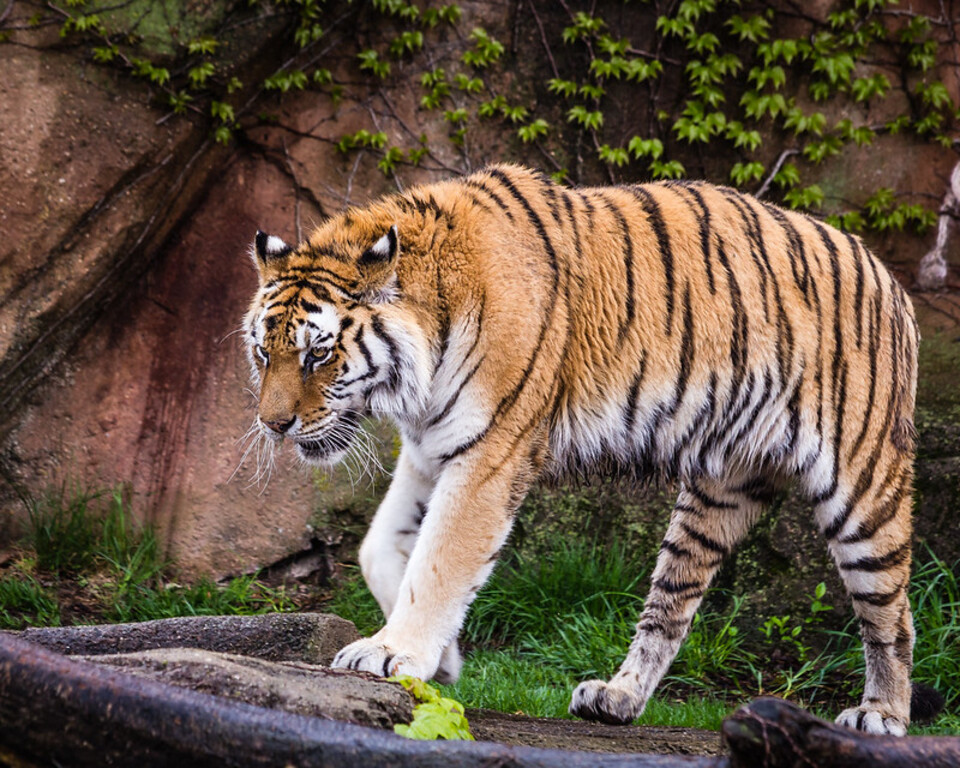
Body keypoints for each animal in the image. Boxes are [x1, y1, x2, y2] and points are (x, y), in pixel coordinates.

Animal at [243, 163, 922, 735]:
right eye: (262, 351)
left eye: (318, 354)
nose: (273, 424)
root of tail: (891, 279)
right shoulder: (431, 446)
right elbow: (380, 547)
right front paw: (443, 662)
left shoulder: (490, 450)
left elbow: (440, 561)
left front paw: (391, 653)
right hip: (718, 490)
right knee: (670, 607)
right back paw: (616, 698)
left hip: (862, 489)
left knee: (893, 613)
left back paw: (881, 715)